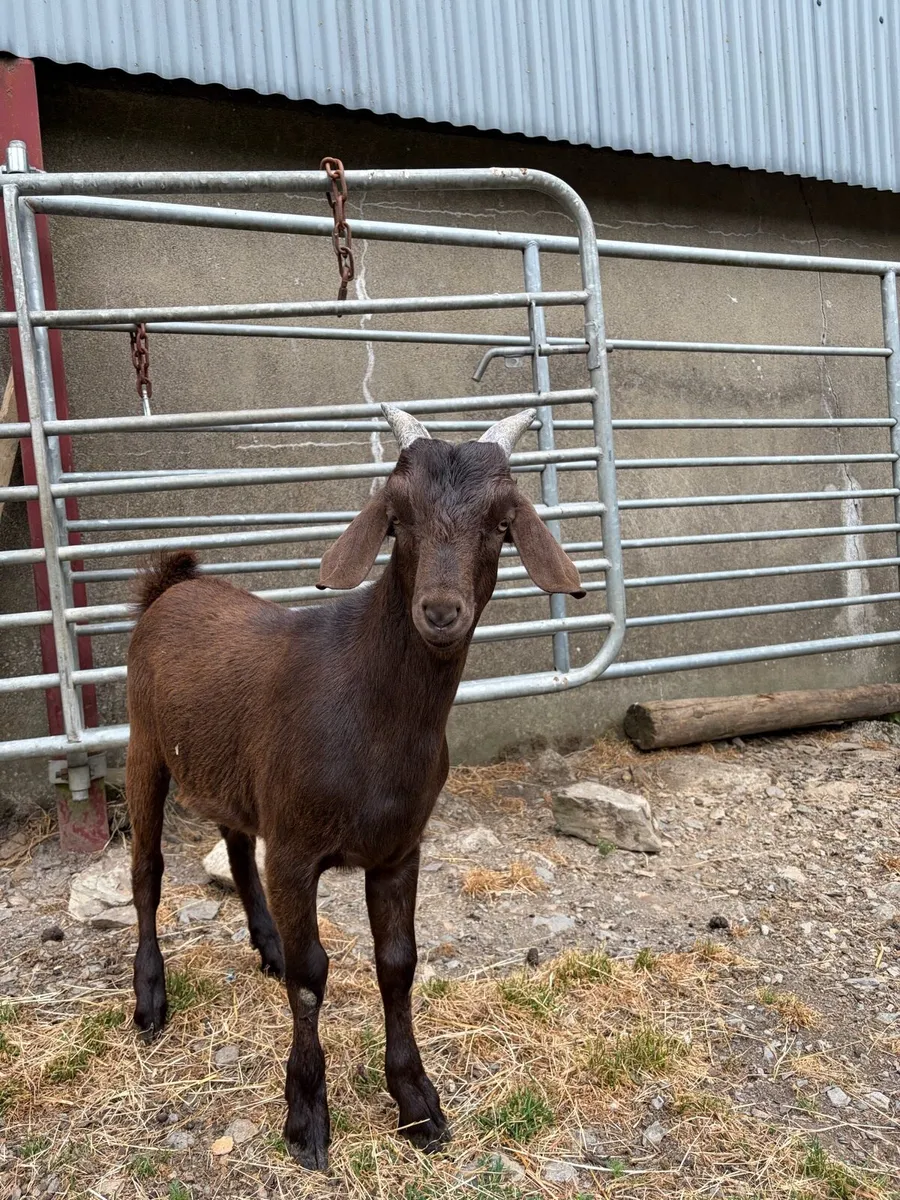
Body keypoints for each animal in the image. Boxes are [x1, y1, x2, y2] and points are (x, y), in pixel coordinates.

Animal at [125, 405, 584, 1169]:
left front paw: (418, 1104)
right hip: (143, 744)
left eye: (501, 522)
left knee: (235, 843)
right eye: (397, 517)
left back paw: (264, 944)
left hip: (233, 773)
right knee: (148, 871)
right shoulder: (296, 848)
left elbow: (397, 965)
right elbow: (313, 977)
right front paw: (307, 1116)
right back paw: (149, 999)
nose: (440, 611)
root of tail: (173, 585)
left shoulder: (399, 849)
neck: (369, 708)